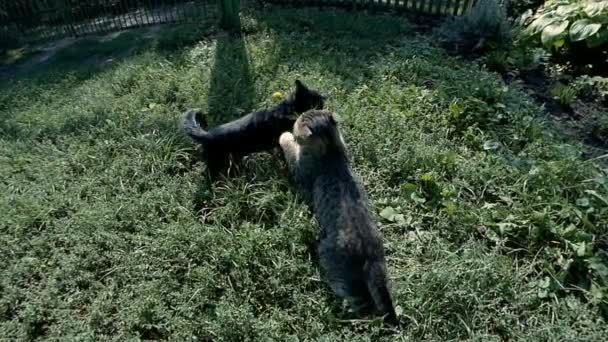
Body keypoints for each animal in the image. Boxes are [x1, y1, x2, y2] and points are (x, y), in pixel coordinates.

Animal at [280, 110, 400, 326]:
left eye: (301, 119)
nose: (296, 117)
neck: (330, 150)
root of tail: (370, 255)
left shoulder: (301, 171)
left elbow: (289, 148)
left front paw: (285, 135)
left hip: (330, 260)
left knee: (357, 301)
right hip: (382, 267)